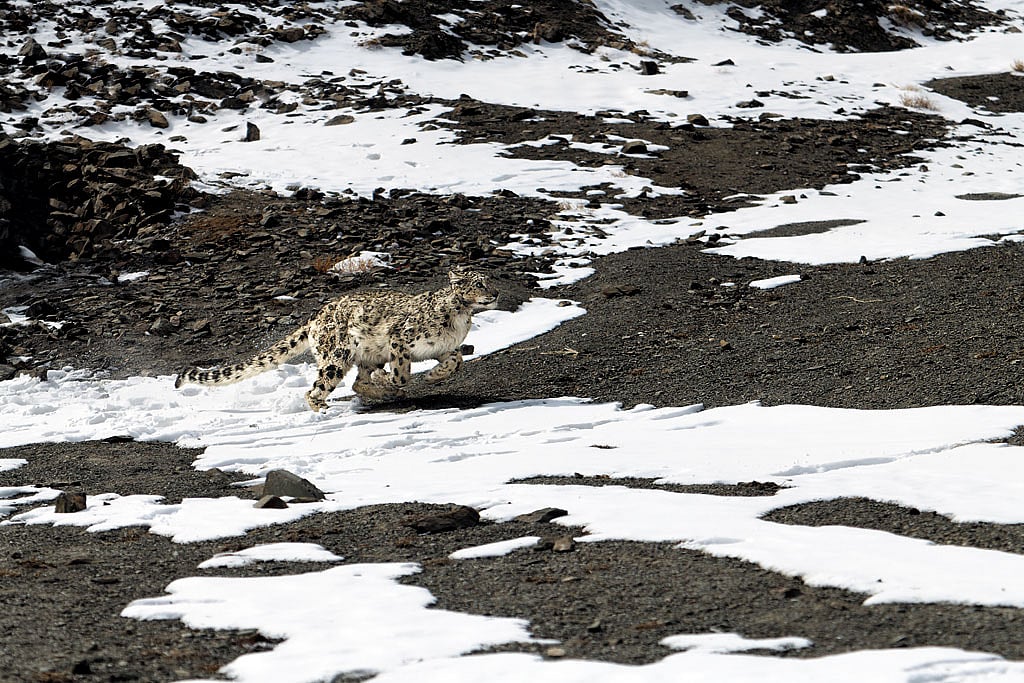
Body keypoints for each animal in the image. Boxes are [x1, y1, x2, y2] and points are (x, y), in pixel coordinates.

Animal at [174, 268, 499, 411]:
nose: (495, 293)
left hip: (365, 355)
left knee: (358, 381)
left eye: (490, 280)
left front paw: (433, 375)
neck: (460, 319)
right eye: (479, 283)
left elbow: (455, 360)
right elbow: (402, 372)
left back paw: (379, 391)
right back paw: (326, 408)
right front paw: (397, 381)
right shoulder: (400, 339)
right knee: (316, 389)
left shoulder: (444, 348)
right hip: (337, 356)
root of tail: (315, 316)